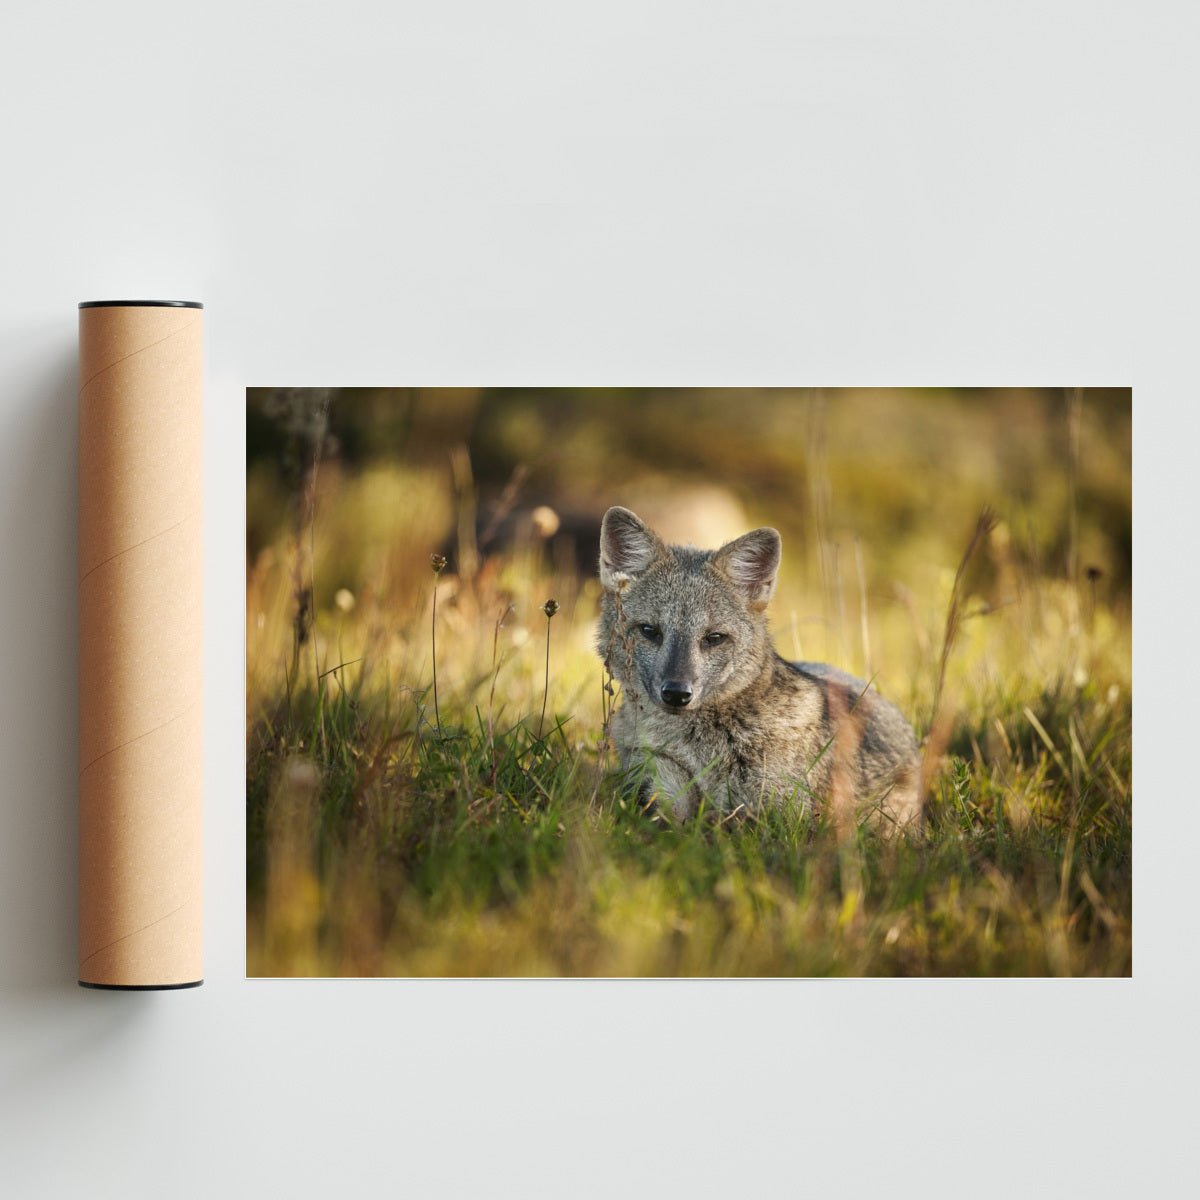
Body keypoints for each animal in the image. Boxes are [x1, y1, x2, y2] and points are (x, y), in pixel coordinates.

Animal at [596, 506, 921, 830]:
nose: (677, 693)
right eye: (650, 631)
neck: (700, 751)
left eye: (714, 638)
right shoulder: (658, 788)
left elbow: (723, 821)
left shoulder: (787, 815)